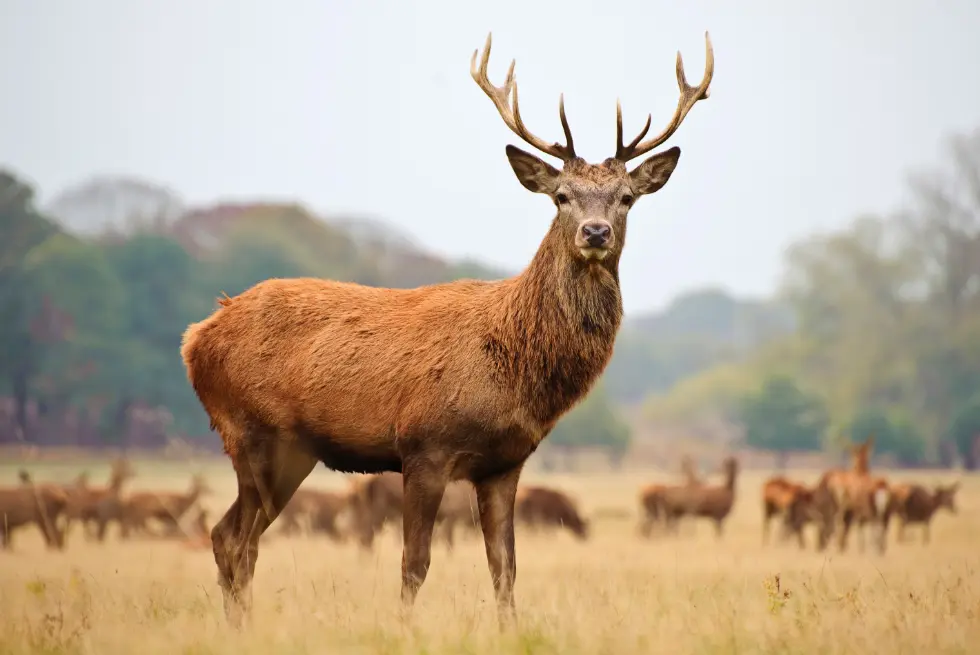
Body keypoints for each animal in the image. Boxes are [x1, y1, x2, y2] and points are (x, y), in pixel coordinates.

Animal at [179, 30, 714, 628]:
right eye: (561, 196)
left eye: (626, 198)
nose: (594, 232)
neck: (515, 366)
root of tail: (195, 337)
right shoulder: (424, 447)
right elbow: (415, 563)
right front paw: (405, 629)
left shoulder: (505, 463)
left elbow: (505, 567)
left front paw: (508, 630)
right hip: (254, 433)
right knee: (233, 538)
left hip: (287, 450)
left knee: (233, 538)